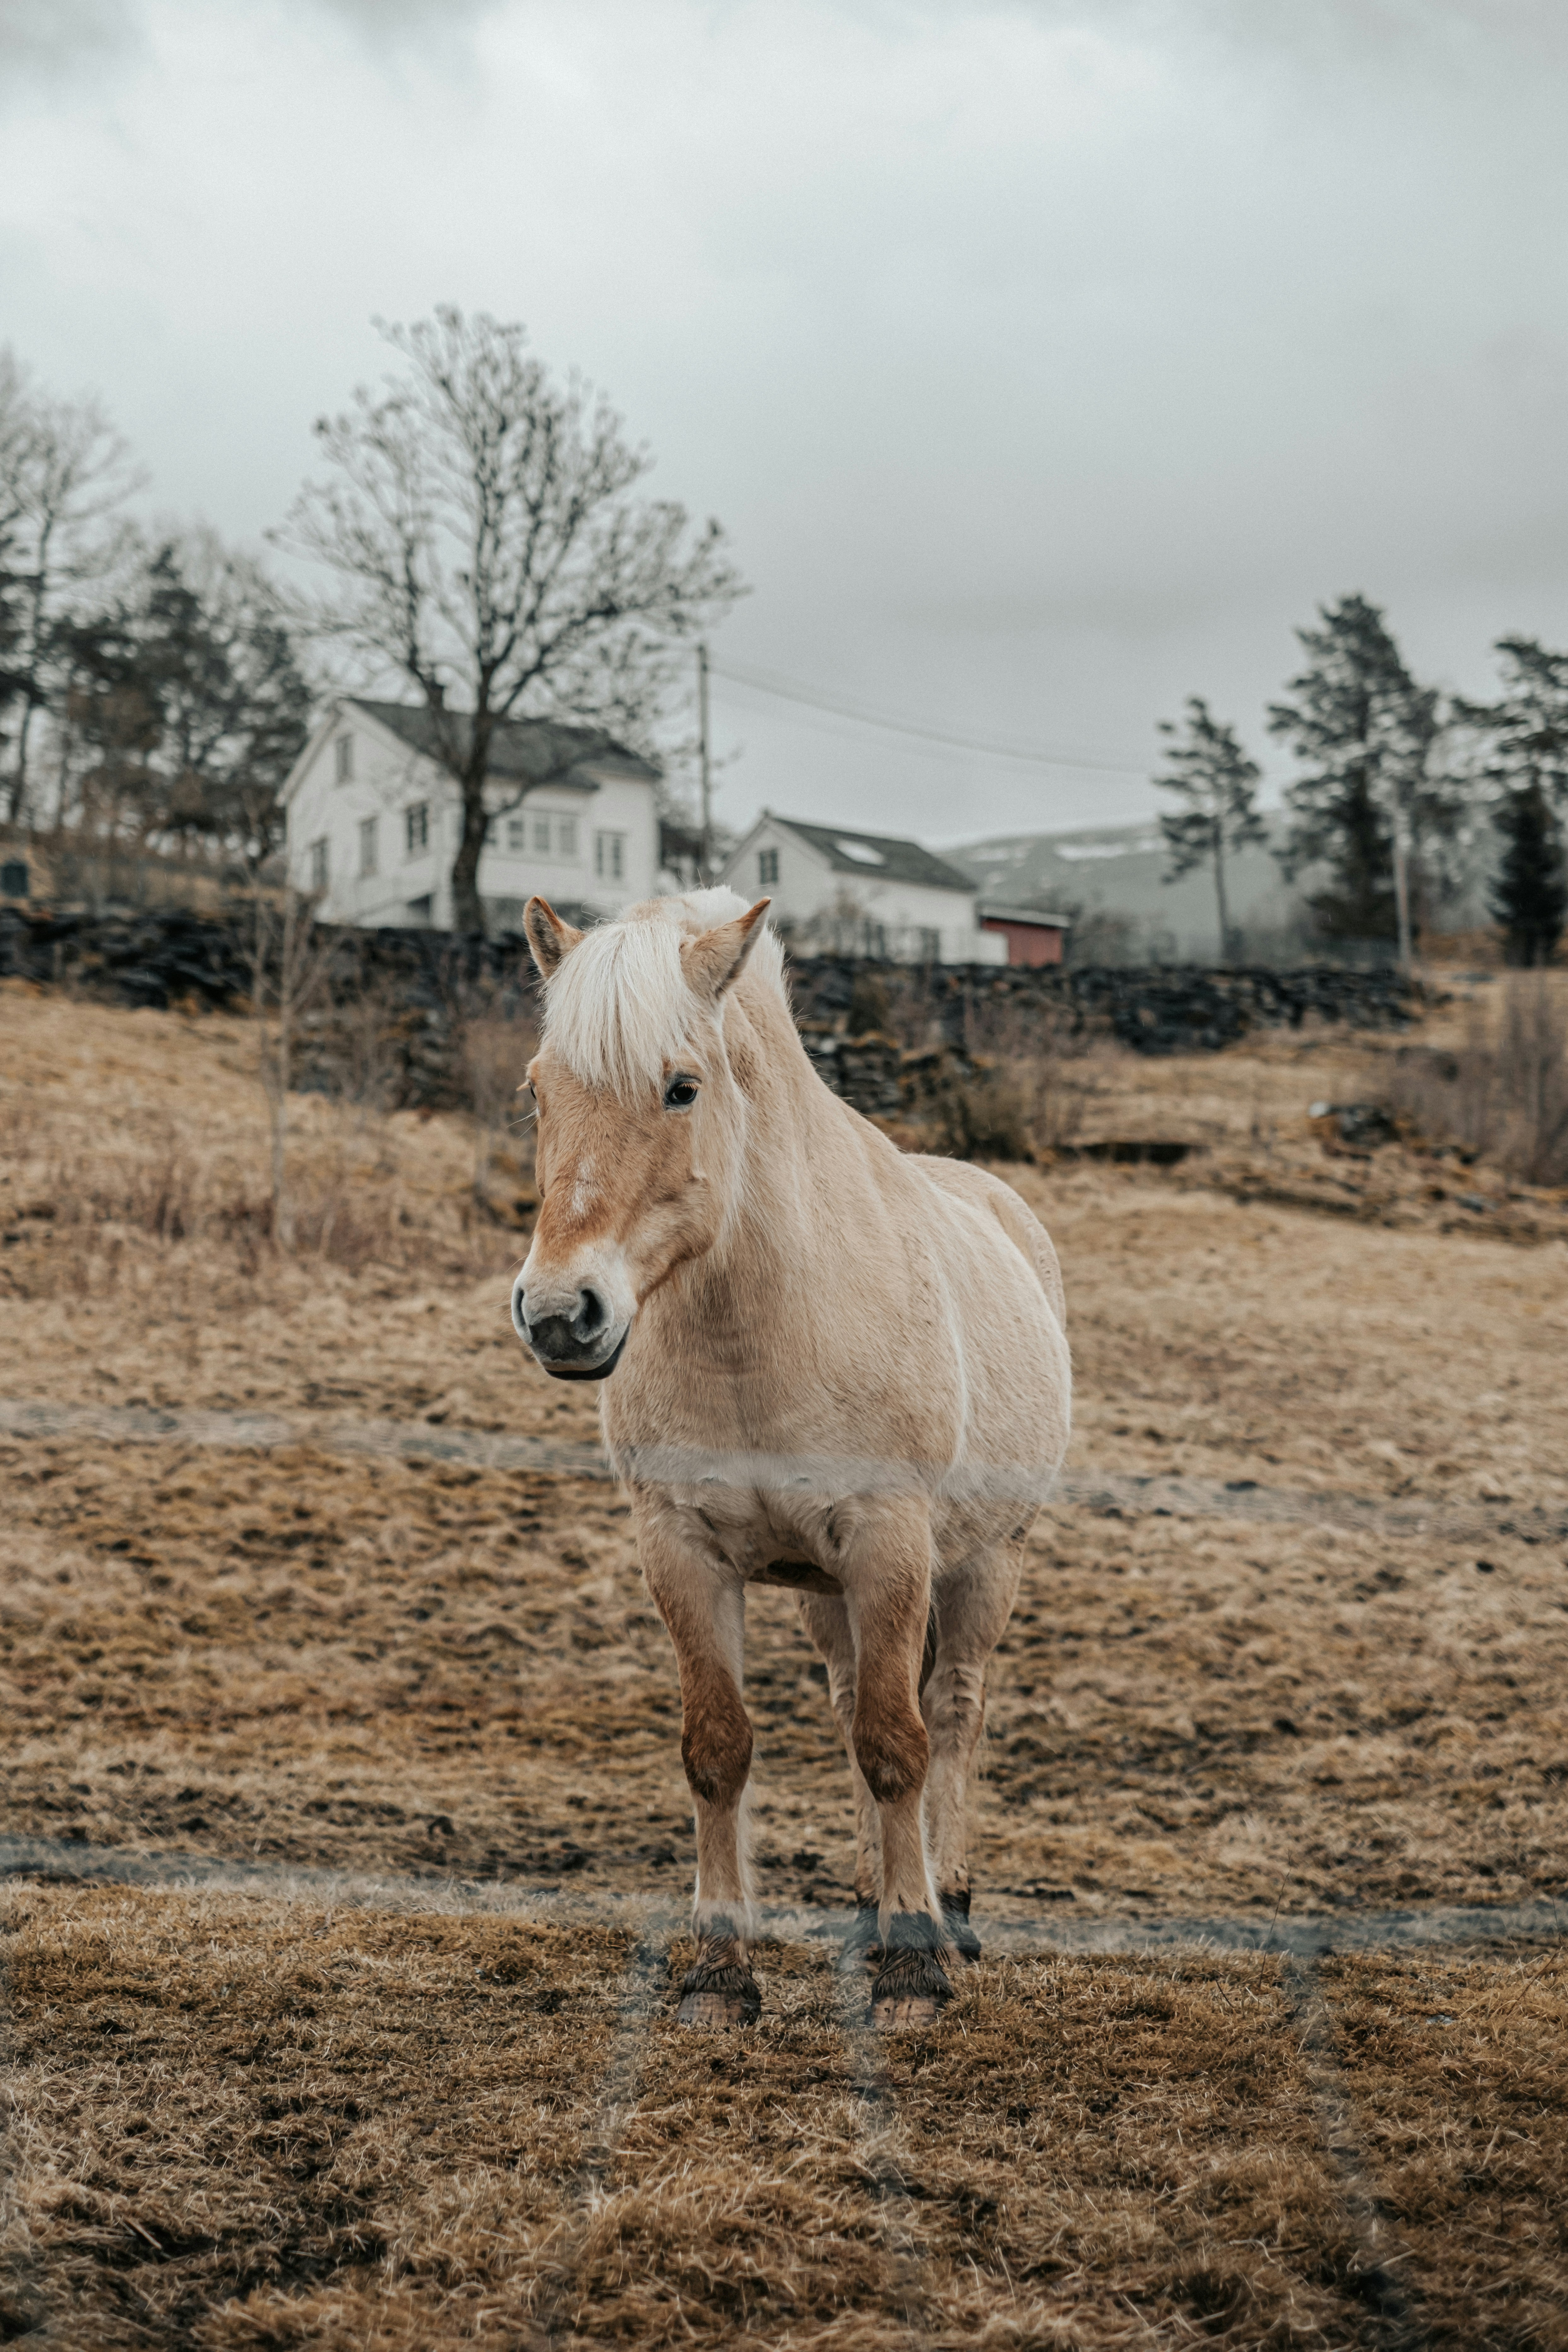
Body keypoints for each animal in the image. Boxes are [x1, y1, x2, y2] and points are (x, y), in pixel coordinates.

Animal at [512, 886, 1071, 2029]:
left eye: (681, 1087)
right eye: (537, 1091)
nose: (557, 1315)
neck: (758, 1327)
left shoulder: (890, 1545)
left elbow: (899, 1746)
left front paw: (915, 1968)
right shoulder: (682, 1551)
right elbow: (720, 1749)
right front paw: (720, 1972)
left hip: (985, 1563)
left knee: (951, 1715)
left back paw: (947, 1908)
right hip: (827, 1595)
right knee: (855, 1701)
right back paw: (869, 1910)